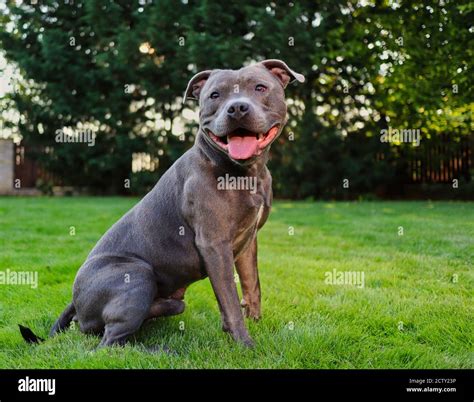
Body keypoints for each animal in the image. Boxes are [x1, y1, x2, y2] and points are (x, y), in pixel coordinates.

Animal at [21, 58, 304, 348]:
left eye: (260, 87)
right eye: (215, 95)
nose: (236, 108)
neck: (243, 173)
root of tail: (75, 301)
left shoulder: (248, 241)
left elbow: (251, 284)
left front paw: (256, 322)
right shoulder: (214, 245)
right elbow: (230, 299)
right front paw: (244, 344)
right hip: (137, 274)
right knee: (108, 343)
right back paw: (159, 349)